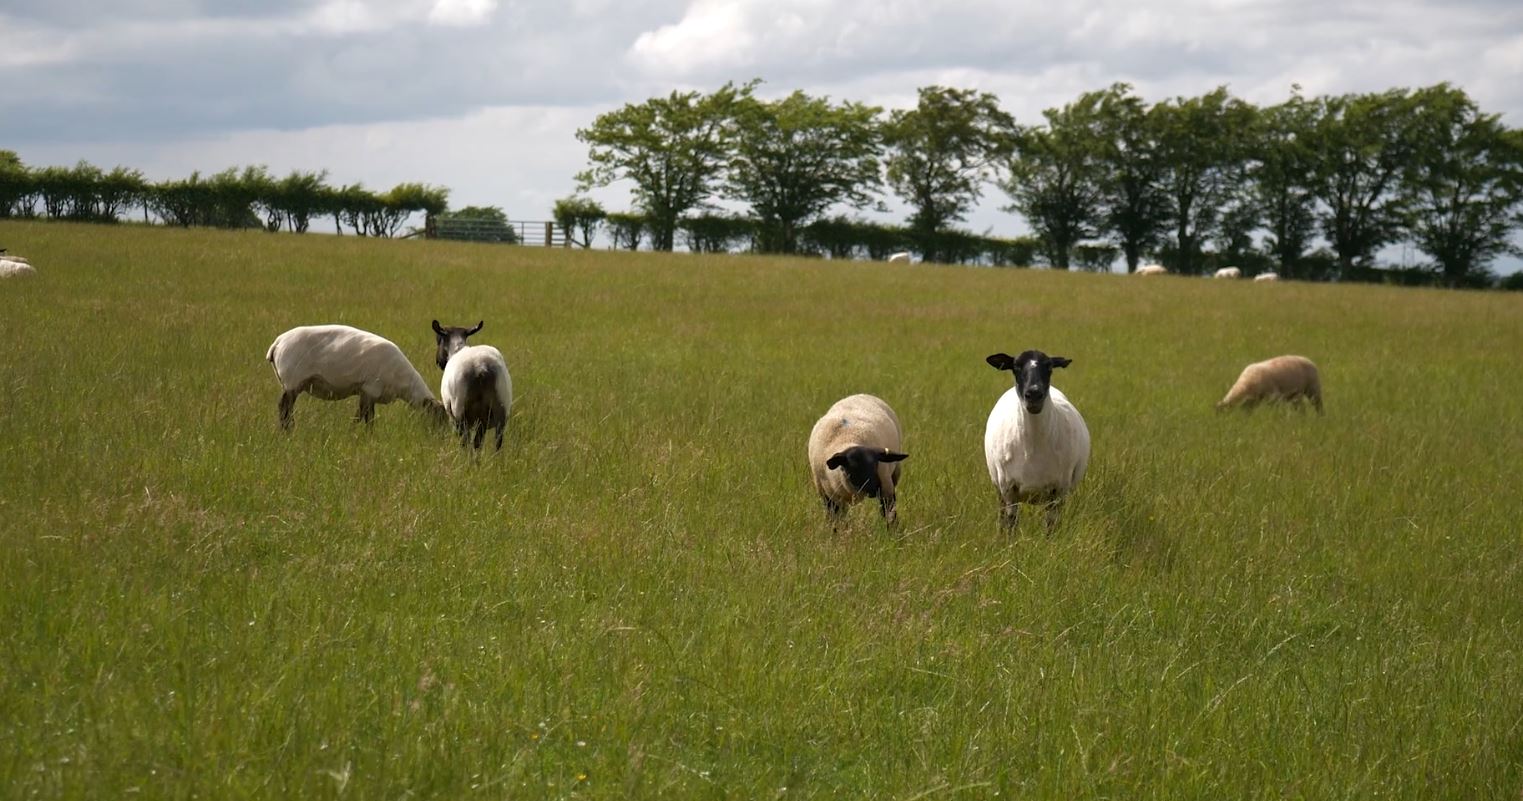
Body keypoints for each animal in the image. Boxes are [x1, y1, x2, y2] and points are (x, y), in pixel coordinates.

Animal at [266, 324, 444, 432]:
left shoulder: (368, 394)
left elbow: (368, 418)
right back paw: (288, 431)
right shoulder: (370, 388)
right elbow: (362, 416)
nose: (442, 438)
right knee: (284, 408)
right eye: (439, 419)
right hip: (292, 381)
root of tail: (278, 343)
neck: (404, 383)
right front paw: (354, 433)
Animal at [804, 392, 907, 529]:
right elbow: (835, 521)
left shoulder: (886, 487)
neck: (848, 440)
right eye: (853, 467)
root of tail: (861, 394)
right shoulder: (829, 498)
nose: (874, 488)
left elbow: (889, 513)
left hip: (893, 475)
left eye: (875, 464)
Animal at [980, 351, 1090, 532]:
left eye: (1049, 367)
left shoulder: (1058, 491)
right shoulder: (1009, 489)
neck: (1033, 447)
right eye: (1016, 367)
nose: (1034, 394)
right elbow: (1011, 526)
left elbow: (1051, 528)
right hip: (999, 486)